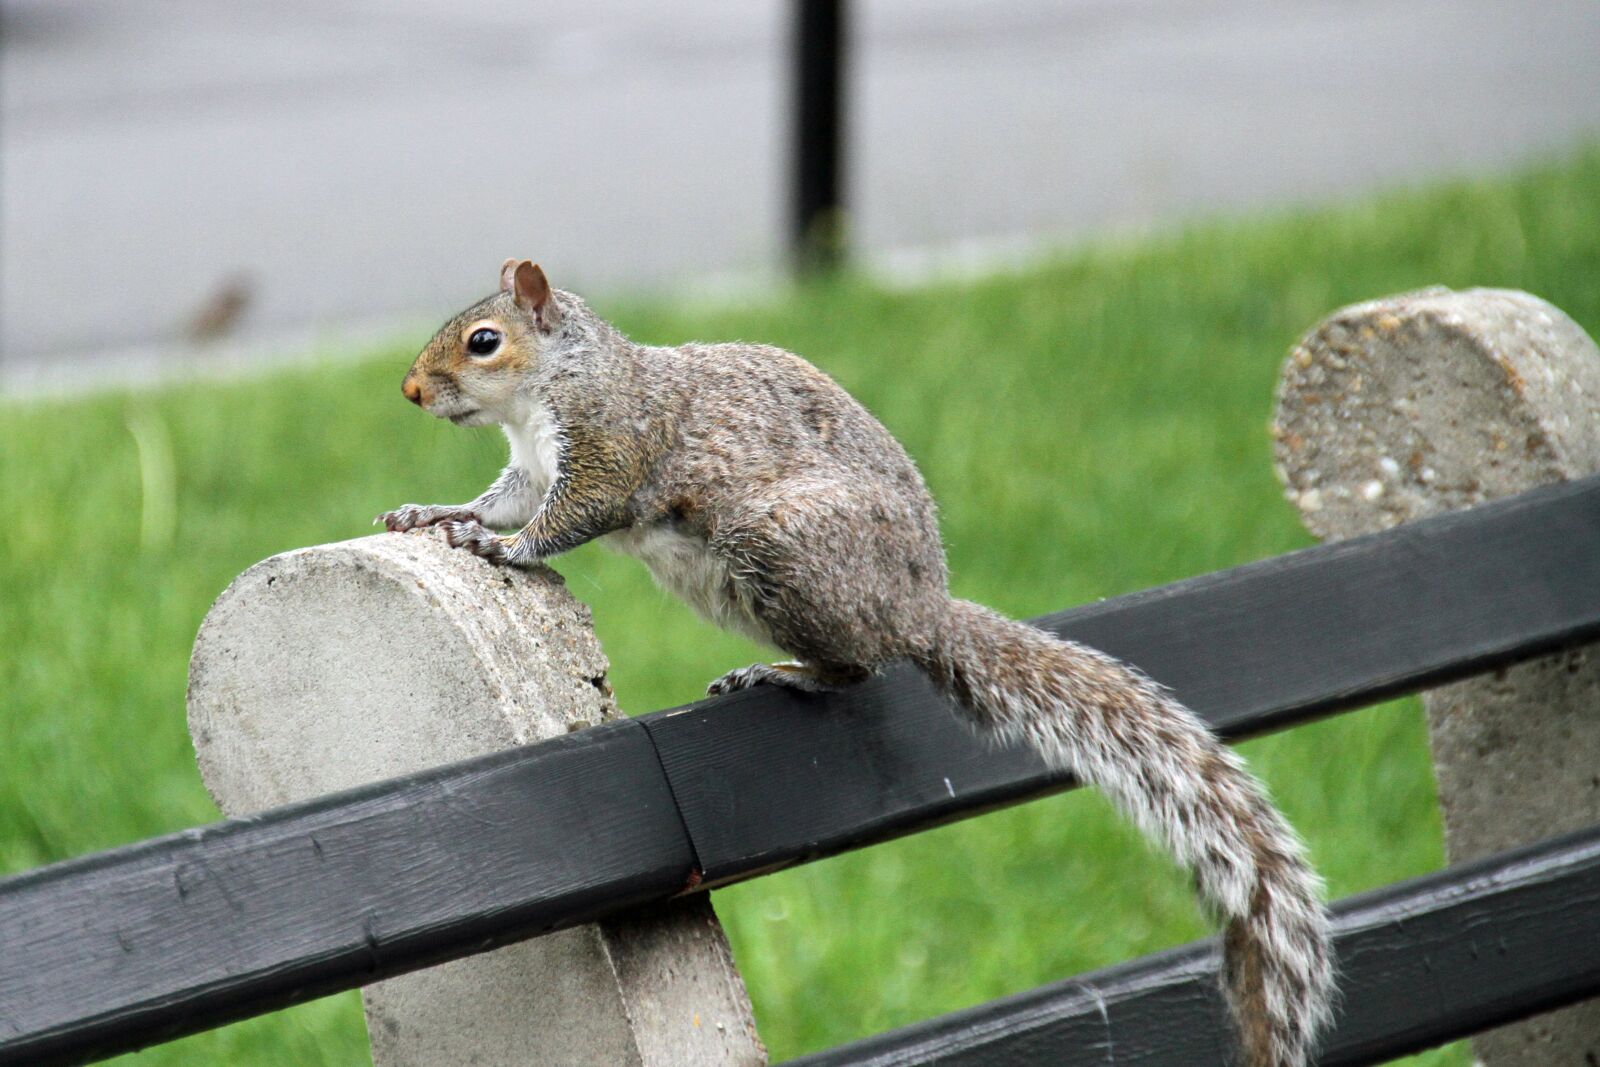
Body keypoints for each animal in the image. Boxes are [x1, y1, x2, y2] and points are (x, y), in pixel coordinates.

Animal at [379, 259, 1335, 1067]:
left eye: (483, 341)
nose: (411, 389)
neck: (554, 388)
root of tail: (919, 608)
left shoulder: (613, 447)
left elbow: (565, 516)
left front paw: (504, 549)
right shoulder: (530, 466)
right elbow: (502, 496)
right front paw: (438, 512)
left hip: (781, 551)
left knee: (860, 667)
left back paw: (786, 673)